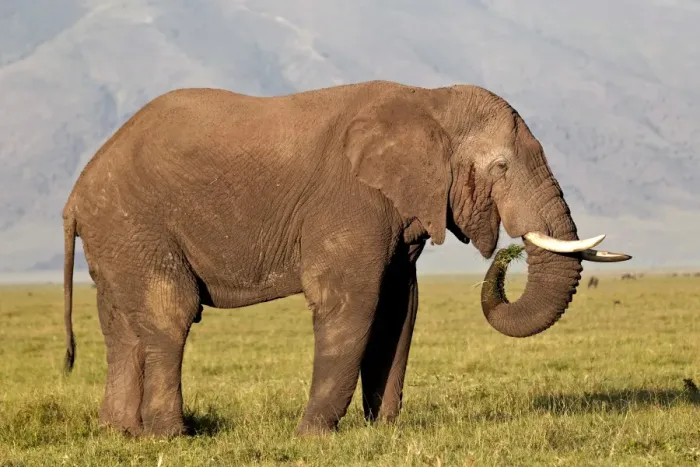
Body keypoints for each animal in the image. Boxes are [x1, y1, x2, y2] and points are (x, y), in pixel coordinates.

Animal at [61, 80, 631, 438]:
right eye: (501, 167)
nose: (507, 254)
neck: (429, 101)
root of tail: (76, 193)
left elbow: (399, 311)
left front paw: (383, 433)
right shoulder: (349, 201)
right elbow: (350, 304)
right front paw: (312, 437)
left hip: (116, 236)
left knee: (120, 325)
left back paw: (122, 433)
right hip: (136, 222)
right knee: (170, 314)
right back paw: (173, 437)